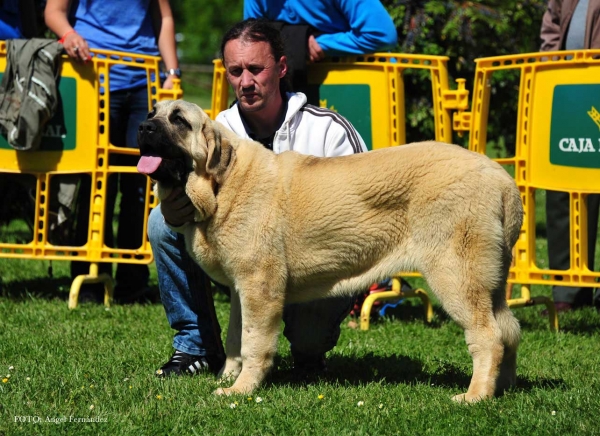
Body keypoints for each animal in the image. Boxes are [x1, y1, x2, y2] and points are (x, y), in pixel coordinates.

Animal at [138, 99, 524, 402]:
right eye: (152, 112)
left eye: (179, 120)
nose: (142, 127)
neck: (222, 183)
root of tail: (502, 180)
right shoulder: (239, 289)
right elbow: (235, 338)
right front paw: (229, 376)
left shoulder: (259, 287)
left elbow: (253, 342)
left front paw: (242, 389)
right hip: (488, 285)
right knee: (509, 329)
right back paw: (501, 389)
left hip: (456, 276)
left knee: (489, 336)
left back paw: (475, 396)